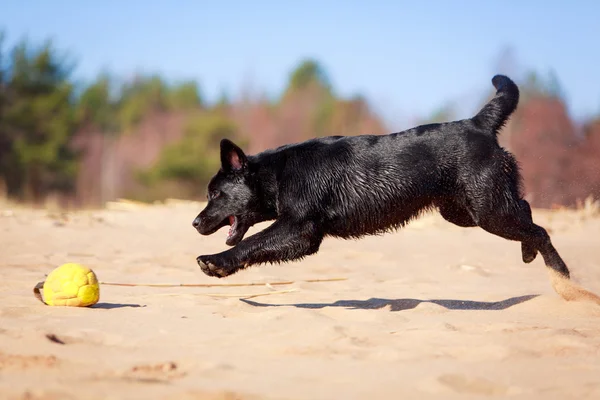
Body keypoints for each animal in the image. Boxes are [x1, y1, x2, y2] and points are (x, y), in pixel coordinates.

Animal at [192, 76, 572, 282]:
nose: (195, 223)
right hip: (466, 211)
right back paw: (531, 255)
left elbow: (251, 243)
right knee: (526, 210)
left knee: (538, 229)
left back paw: (561, 274)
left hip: (488, 210)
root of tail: (478, 123)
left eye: (215, 194)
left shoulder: (299, 228)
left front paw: (216, 262)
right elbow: (254, 244)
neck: (278, 173)